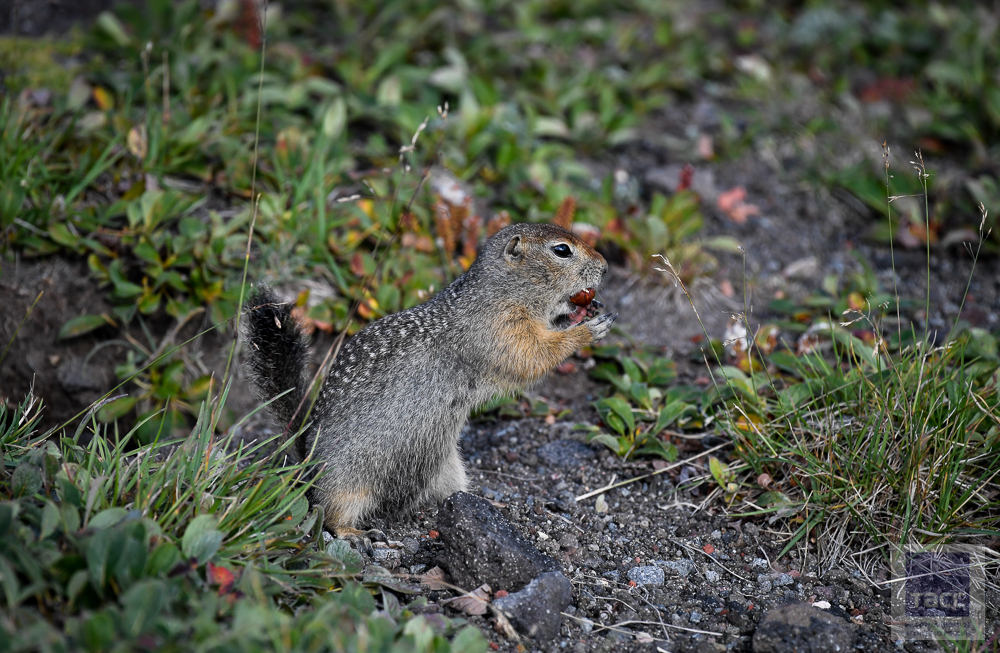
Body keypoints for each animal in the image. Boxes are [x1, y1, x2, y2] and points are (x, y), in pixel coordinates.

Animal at [245, 224, 612, 536]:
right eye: (562, 250)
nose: (606, 266)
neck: (502, 290)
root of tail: (306, 460)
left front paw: (586, 310)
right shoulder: (501, 328)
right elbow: (532, 355)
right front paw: (584, 330)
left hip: (445, 466)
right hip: (347, 482)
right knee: (330, 510)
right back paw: (351, 531)